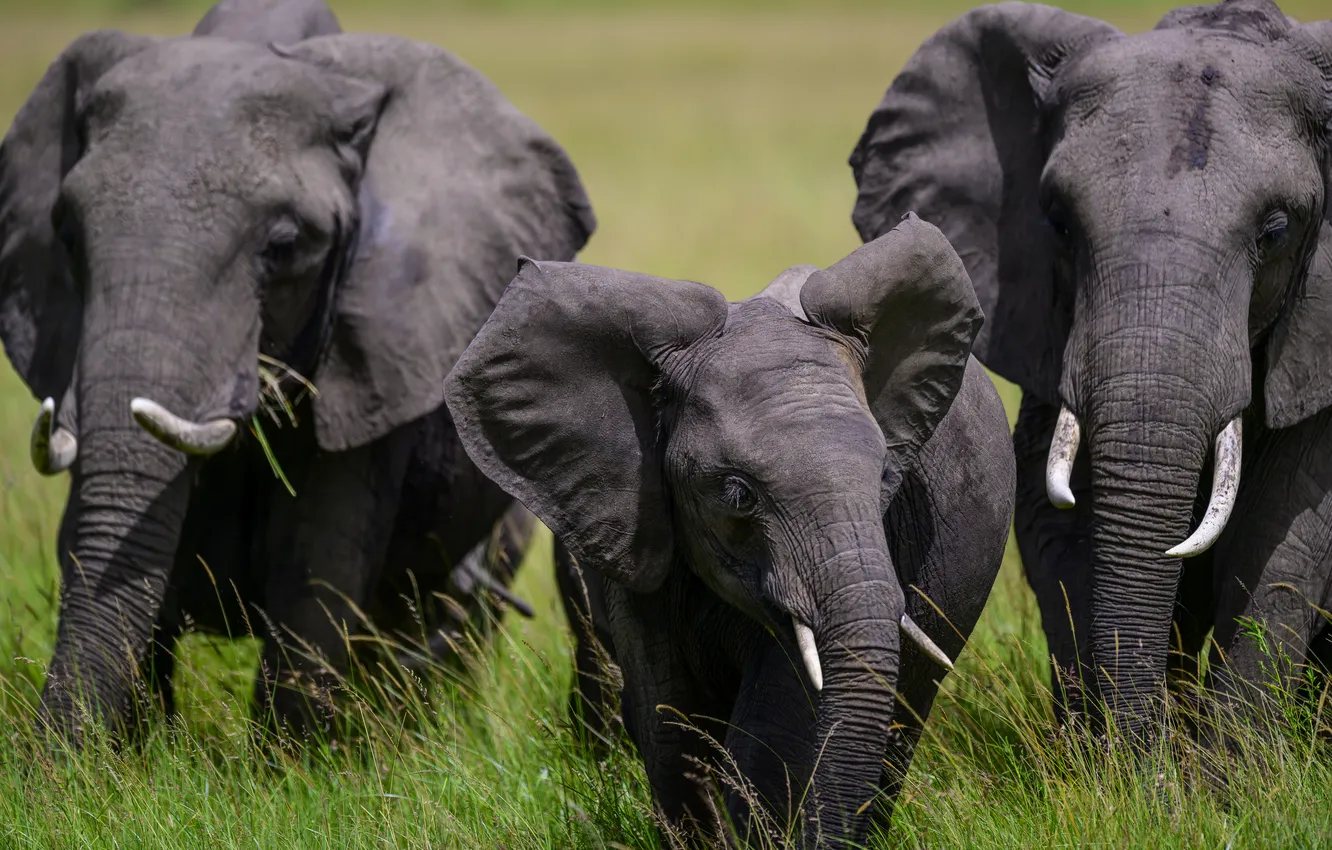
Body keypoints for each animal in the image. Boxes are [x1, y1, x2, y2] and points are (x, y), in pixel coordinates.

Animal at [0, 0, 595, 742]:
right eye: (67, 235)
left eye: (284, 247)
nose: (41, 764)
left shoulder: (380, 354)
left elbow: (315, 571)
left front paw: (288, 762)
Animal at [849, 0, 1332, 736]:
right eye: (1059, 223)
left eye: (1276, 231)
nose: (1154, 750)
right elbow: (1054, 519)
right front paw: (1104, 761)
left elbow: (1281, 534)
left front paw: (1228, 768)